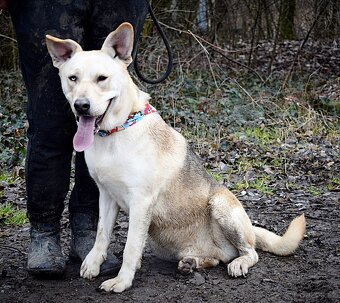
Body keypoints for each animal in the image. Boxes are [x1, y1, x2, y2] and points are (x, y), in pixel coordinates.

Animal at [45, 23, 306, 294]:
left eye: (102, 79)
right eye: (72, 78)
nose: (81, 105)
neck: (116, 131)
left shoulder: (141, 202)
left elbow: (130, 248)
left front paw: (122, 280)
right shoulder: (106, 196)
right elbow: (101, 234)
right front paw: (94, 263)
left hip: (221, 205)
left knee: (249, 252)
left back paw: (239, 262)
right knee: (217, 258)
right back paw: (192, 262)